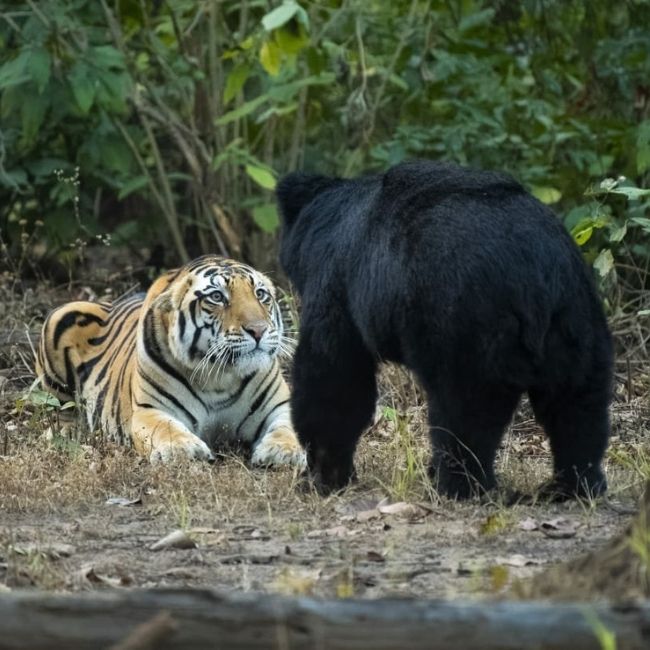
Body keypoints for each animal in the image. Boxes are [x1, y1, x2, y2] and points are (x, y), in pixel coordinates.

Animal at [34, 253, 306, 466]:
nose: (259, 330)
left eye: (260, 294)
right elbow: (166, 429)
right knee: (59, 408)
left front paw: (283, 452)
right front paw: (182, 449)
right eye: (217, 297)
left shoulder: (279, 406)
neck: (220, 377)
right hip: (60, 317)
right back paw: (69, 430)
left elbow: (289, 430)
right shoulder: (151, 410)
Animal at [276, 159, 612, 498]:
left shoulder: (339, 285)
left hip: (464, 323)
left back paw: (459, 484)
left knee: (464, 411)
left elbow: (333, 374)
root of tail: (536, 272)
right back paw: (574, 484)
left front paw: (324, 474)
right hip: (576, 321)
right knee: (577, 405)